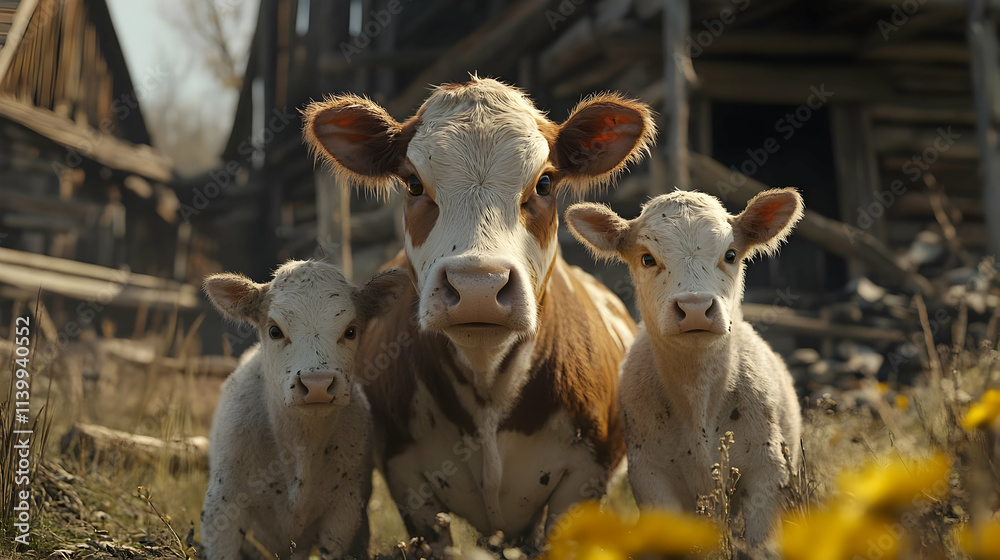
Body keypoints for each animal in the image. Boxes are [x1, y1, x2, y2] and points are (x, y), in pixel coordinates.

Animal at [201, 260, 408, 560]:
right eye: (275, 331)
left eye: (351, 331)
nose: (317, 384)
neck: (301, 444)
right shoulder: (222, 503)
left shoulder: (344, 511)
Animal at [302, 77, 655, 541]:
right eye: (413, 184)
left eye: (544, 183)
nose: (478, 286)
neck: (487, 382)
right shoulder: (407, 482)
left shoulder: (583, 479)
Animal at [565, 188, 804, 550]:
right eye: (647, 258)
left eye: (730, 254)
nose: (694, 308)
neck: (698, 394)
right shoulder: (650, 476)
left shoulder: (768, 470)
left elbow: (761, 546)